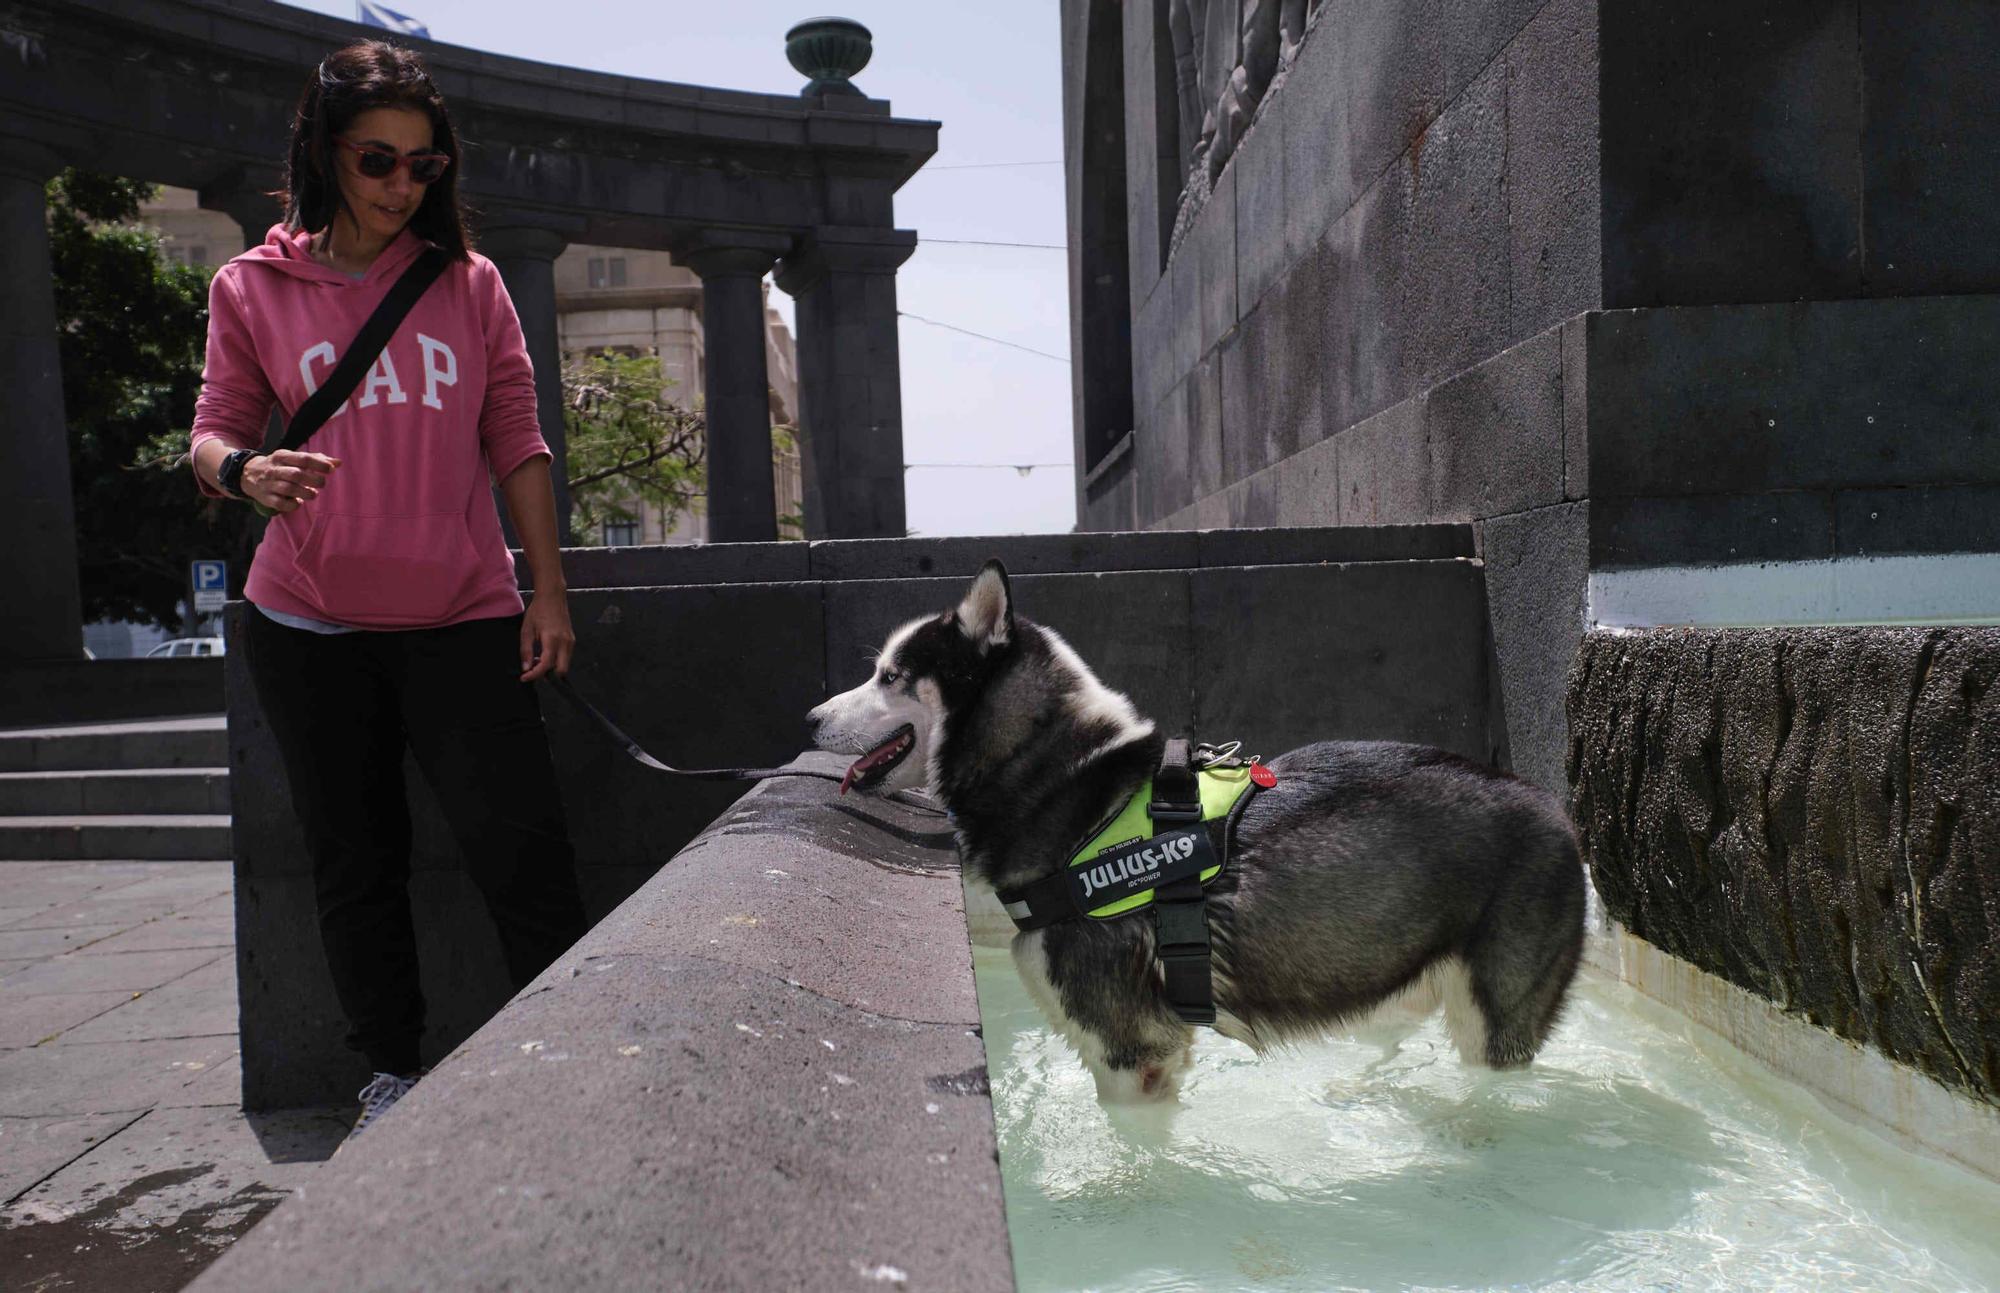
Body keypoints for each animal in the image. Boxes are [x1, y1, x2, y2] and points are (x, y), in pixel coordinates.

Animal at [804, 564, 1584, 1104]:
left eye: (890, 675)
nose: (809, 718)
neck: (1059, 780)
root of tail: (1553, 805)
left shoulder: (1134, 1052)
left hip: (1494, 1018)